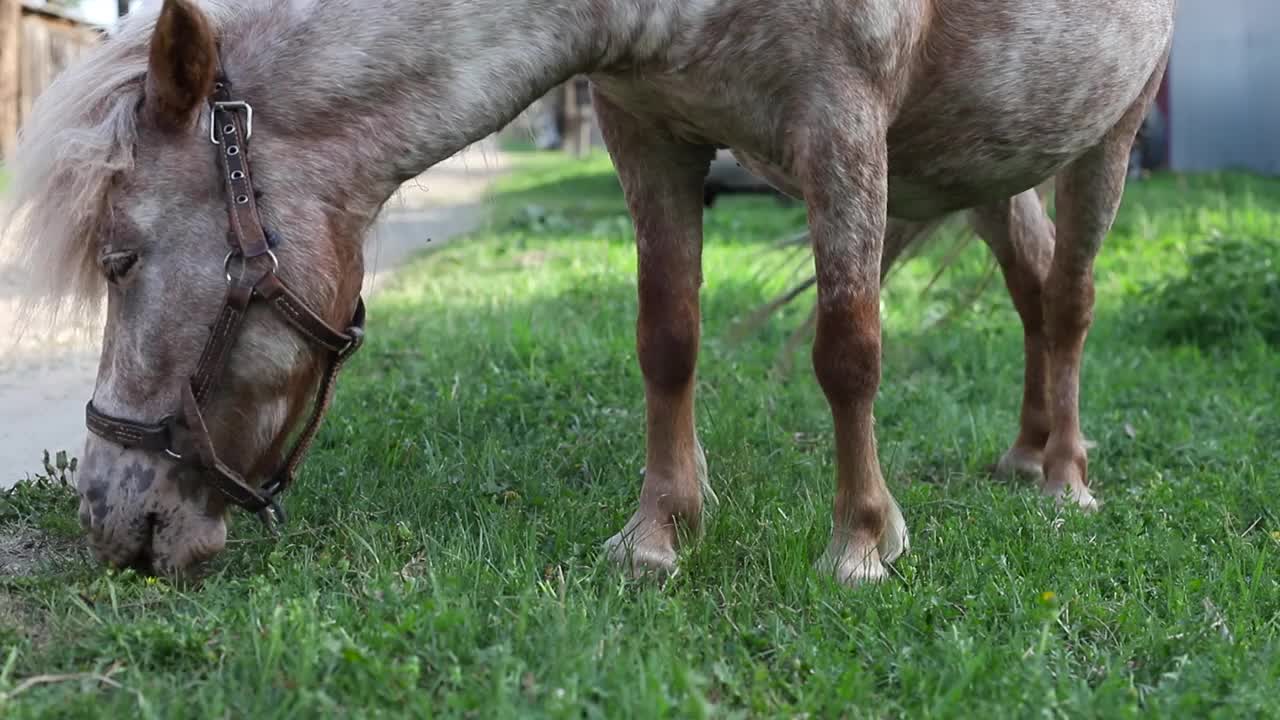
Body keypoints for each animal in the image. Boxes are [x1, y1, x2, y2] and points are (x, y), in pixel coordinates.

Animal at [0, 0, 1172, 579]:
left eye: (120, 256)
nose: (109, 521)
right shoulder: (644, 129)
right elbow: (667, 339)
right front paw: (657, 536)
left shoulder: (839, 124)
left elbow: (846, 350)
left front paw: (860, 544)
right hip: (988, 163)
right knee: (1031, 290)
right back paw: (1023, 453)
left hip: (1106, 138)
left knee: (1070, 301)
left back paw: (1065, 478)